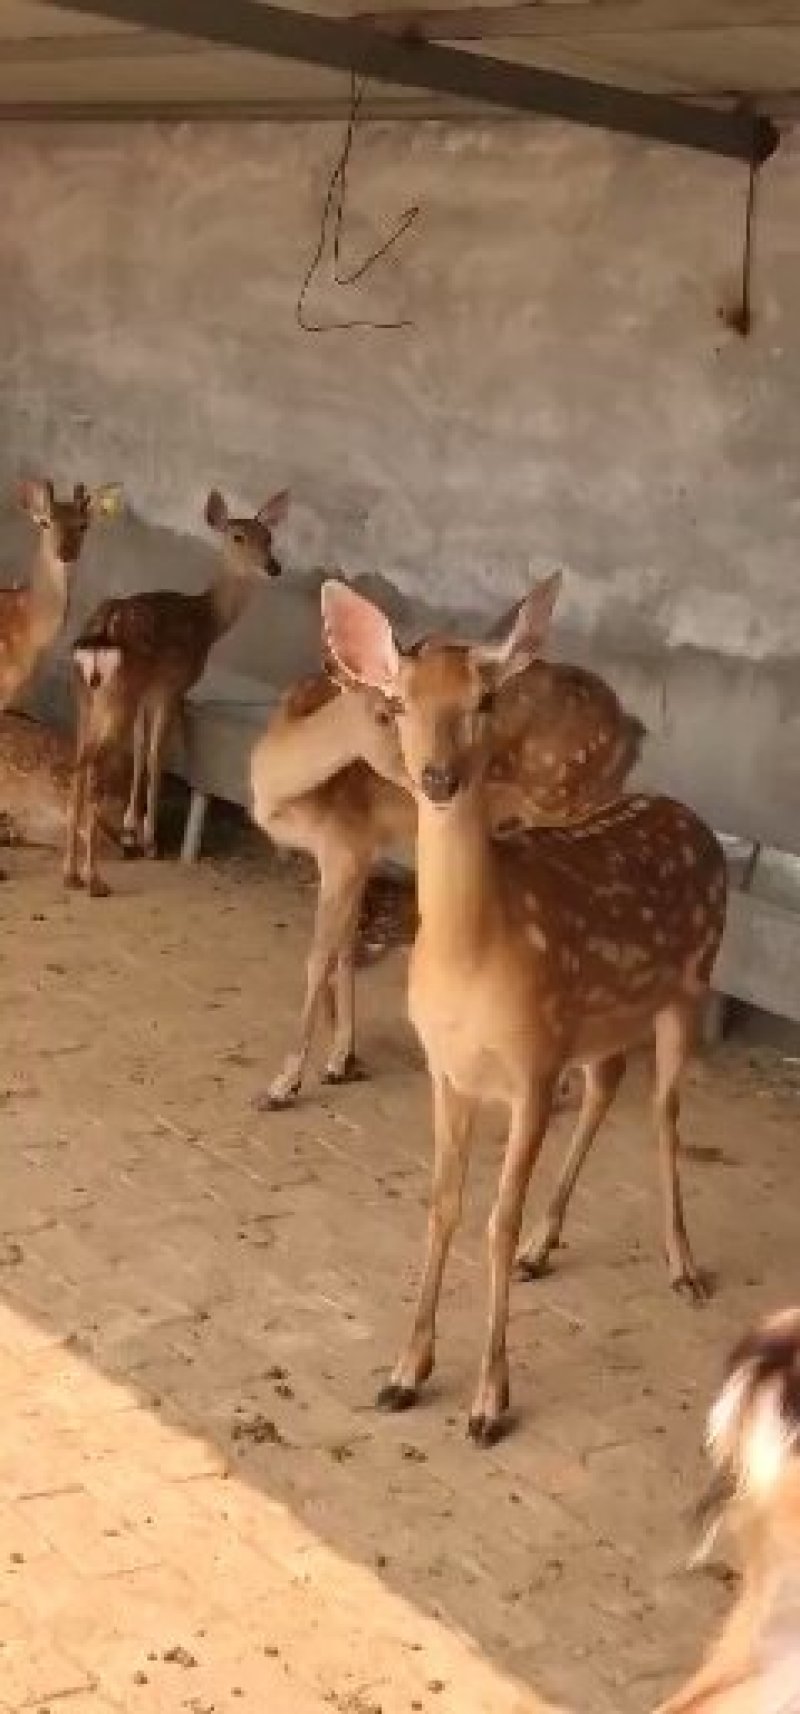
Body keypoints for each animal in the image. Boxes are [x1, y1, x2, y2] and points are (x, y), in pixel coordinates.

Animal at [65, 486, 288, 898]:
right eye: (238, 536)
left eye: (269, 538)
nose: (273, 567)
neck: (208, 623)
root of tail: (101, 631)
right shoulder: (170, 687)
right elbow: (156, 756)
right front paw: (148, 839)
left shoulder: (145, 693)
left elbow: (140, 753)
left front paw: (130, 827)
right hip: (115, 696)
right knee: (94, 771)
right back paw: (95, 880)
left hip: (87, 698)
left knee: (78, 765)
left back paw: (70, 873)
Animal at [250, 604, 646, 1110]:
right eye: (389, 711)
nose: (431, 778)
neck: (278, 791)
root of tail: (629, 734)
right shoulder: (360, 850)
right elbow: (344, 947)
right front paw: (341, 1061)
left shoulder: (344, 842)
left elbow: (319, 955)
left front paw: (283, 1085)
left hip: (562, 805)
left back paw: (558, 1085)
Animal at [321, 573, 727, 1445]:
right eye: (397, 702)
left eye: (484, 700)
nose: (438, 778)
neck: (473, 957)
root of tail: (693, 819)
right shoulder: (449, 1072)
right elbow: (442, 1208)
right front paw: (404, 1374)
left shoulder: (533, 1067)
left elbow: (493, 1223)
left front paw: (487, 1402)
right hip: (604, 1018)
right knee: (608, 1085)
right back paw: (550, 1244)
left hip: (689, 983)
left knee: (664, 1112)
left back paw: (682, 1266)